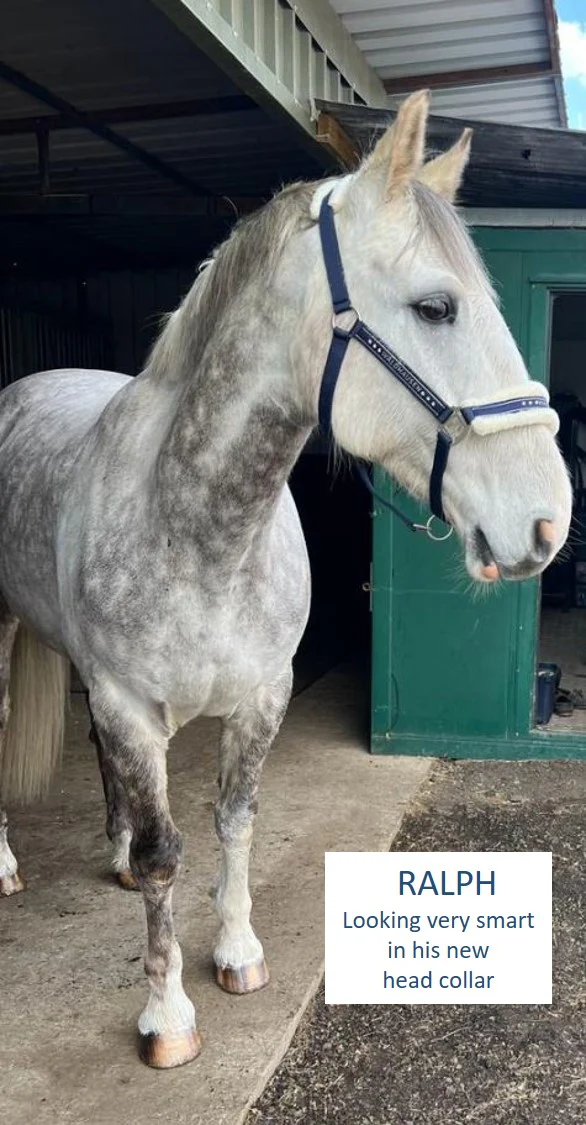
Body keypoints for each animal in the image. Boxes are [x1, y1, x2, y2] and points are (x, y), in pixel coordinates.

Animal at [0, 91, 571, 1069]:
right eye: (436, 306)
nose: (549, 520)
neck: (201, 527)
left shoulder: (265, 693)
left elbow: (235, 820)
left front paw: (237, 953)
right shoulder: (131, 706)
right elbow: (167, 855)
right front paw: (168, 1017)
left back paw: (109, 853)